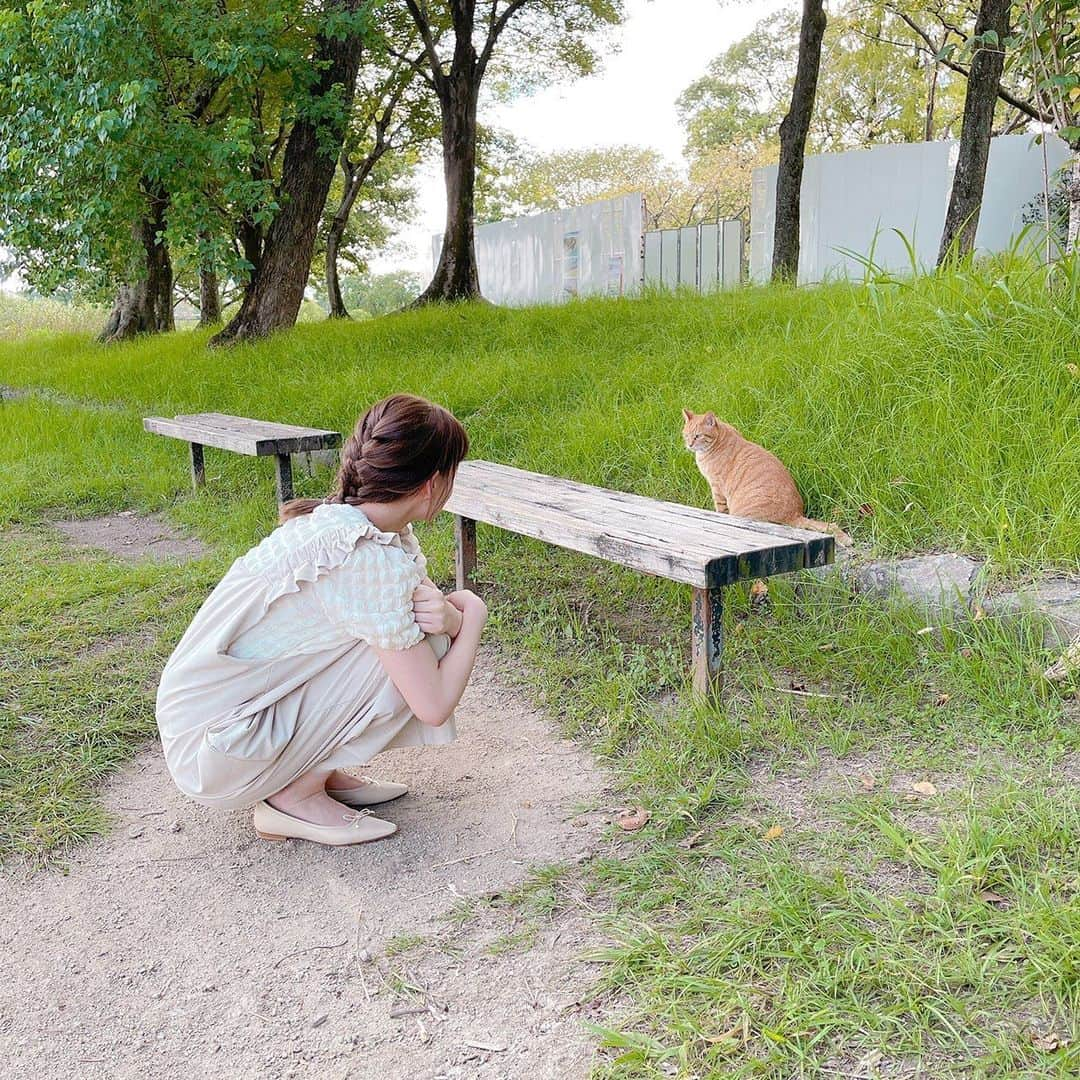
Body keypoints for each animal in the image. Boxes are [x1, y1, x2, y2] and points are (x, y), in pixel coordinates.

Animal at [682, 408, 851, 544]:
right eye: (686, 436)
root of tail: (795, 515)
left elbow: (720, 509)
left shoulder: (717, 487)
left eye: (697, 436)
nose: (689, 445)